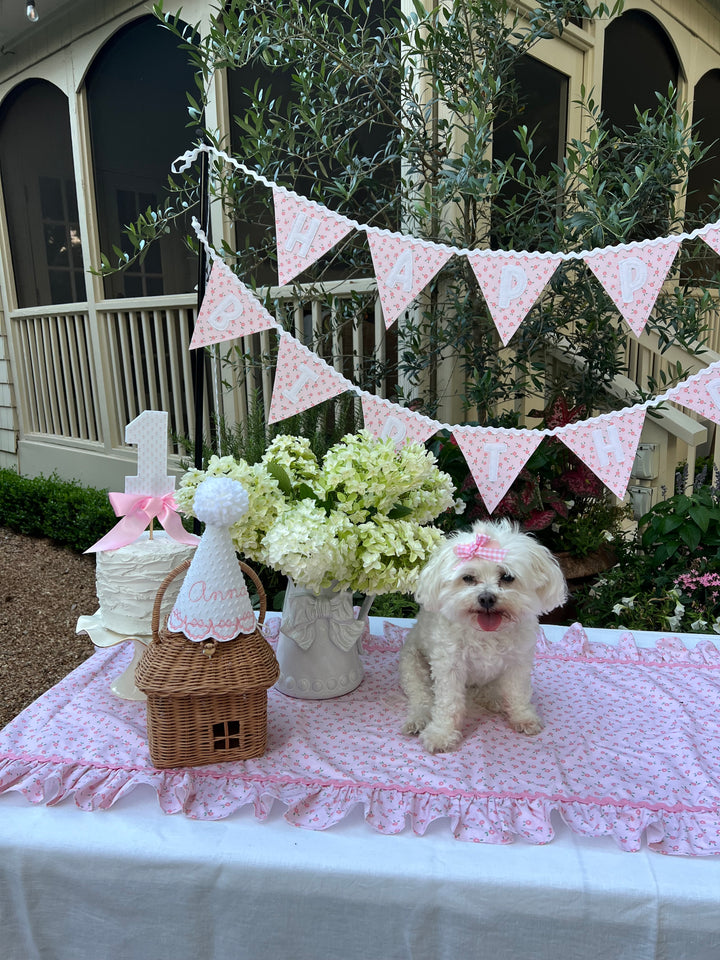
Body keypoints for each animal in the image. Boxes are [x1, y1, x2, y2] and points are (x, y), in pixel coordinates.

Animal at [400, 520, 568, 752]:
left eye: (507, 577)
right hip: (413, 665)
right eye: (468, 578)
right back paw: (418, 719)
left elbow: (517, 692)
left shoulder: (518, 663)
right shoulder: (449, 667)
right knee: (421, 696)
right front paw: (442, 734)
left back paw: (494, 699)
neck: (486, 634)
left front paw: (523, 717)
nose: (487, 598)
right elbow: (448, 703)